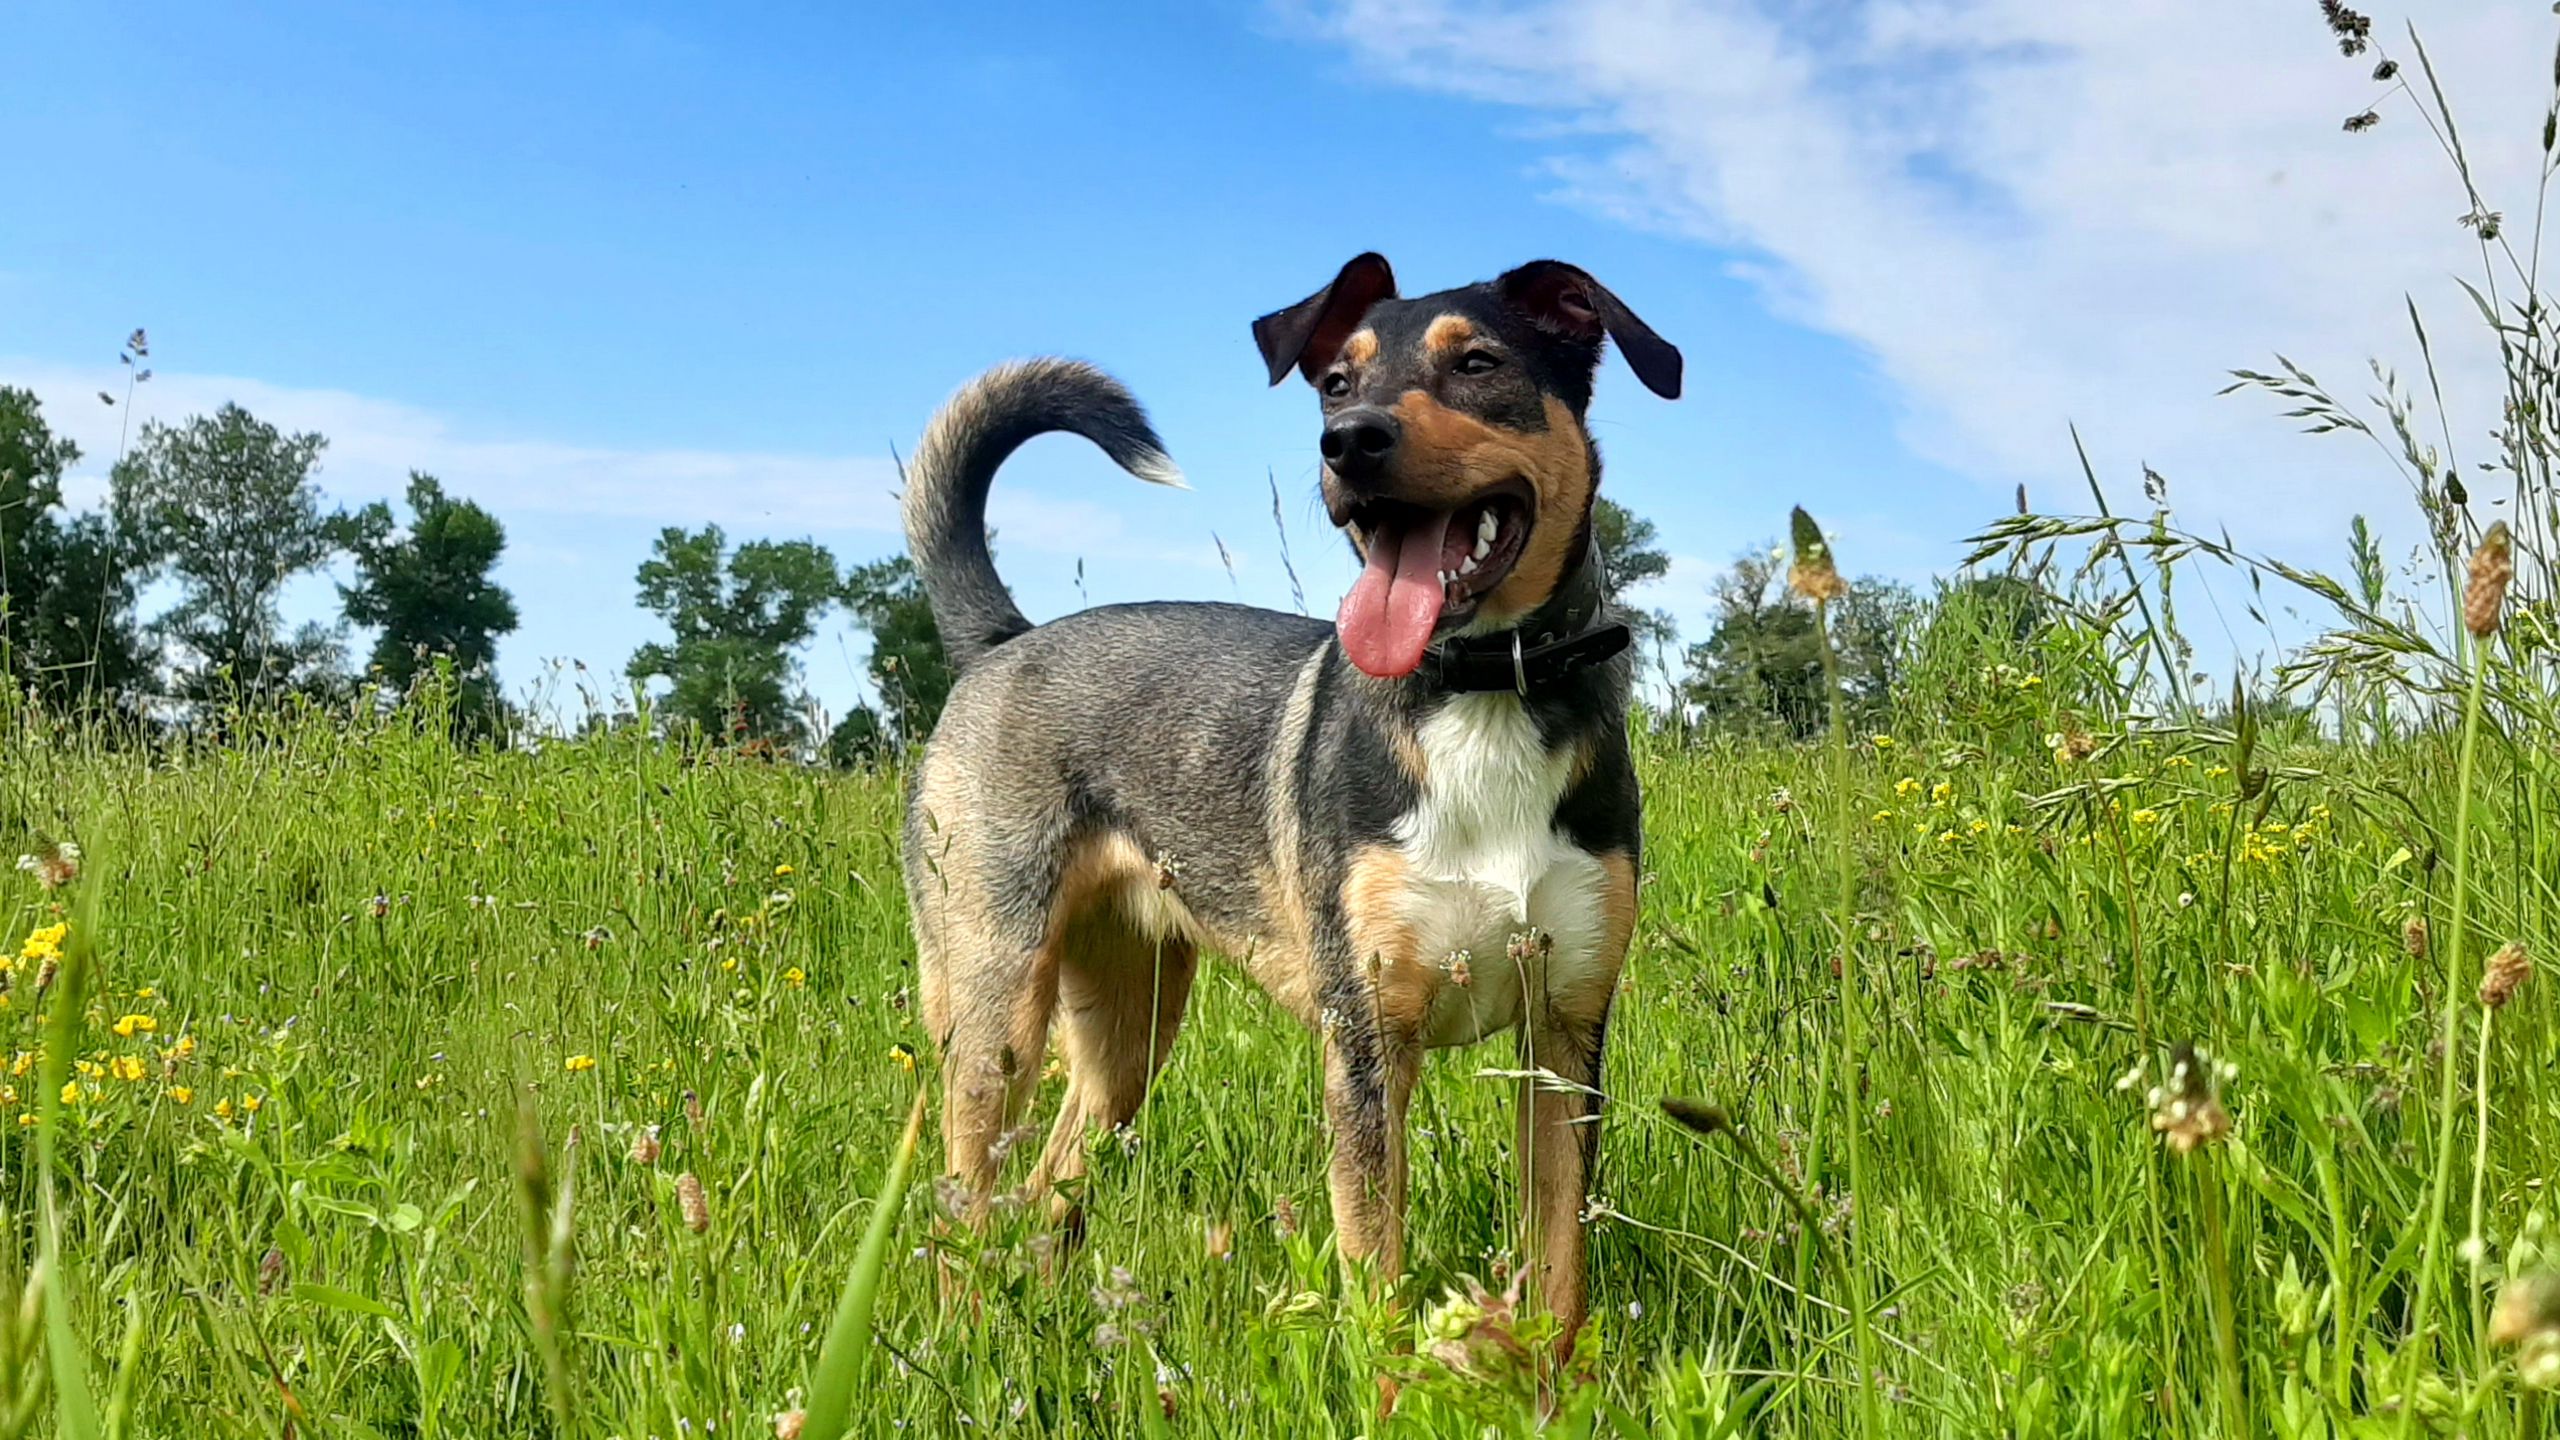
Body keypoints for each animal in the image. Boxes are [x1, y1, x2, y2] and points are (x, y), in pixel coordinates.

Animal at [901, 252, 1679, 1342]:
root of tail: (1004, 640)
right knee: (962, 1204)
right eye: (1335, 382)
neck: (1482, 689)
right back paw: (961, 1343)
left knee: (1051, 1181)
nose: (1347, 443)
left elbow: (1559, 1277)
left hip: (1128, 1031)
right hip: (996, 1006)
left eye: (1478, 363)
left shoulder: (1563, 1038)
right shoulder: (1366, 1041)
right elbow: (1378, 1279)